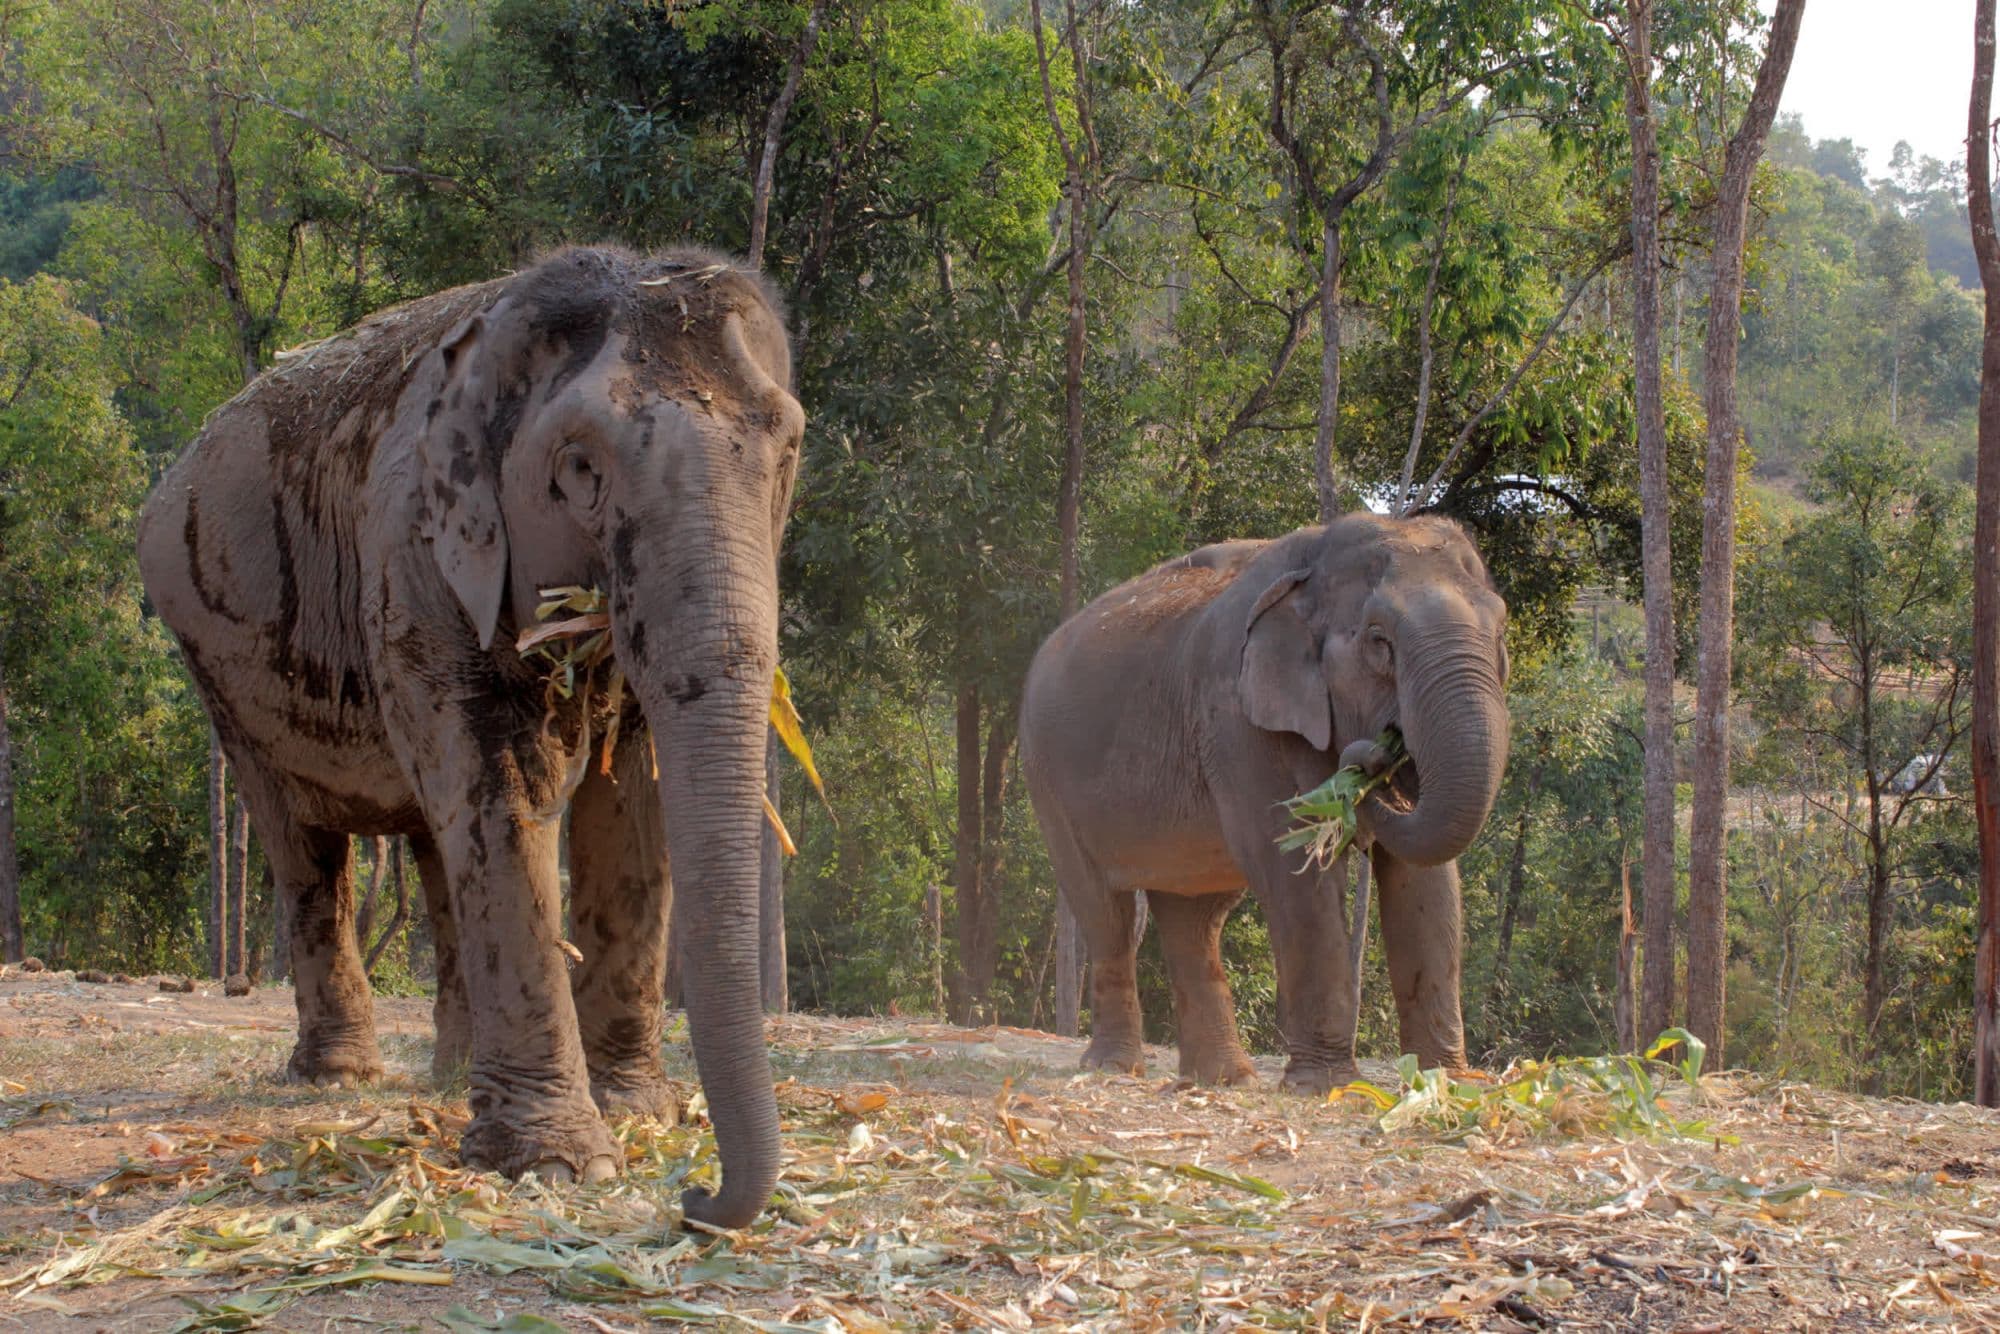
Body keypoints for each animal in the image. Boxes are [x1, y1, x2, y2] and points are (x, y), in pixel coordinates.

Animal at [137, 245, 803, 1229]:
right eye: (578, 466)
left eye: (786, 449)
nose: (697, 1195)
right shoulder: (413, 556)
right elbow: (501, 785)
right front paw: (561, 1165)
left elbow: (631, 802)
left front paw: (635, 1112)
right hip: (212, 655)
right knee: (302, 841)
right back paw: (338, 1080)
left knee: (429, 844)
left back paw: (449, 1077)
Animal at [1019, 513, 1508, 1094]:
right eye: (1378, 640)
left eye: (1501, 633)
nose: (1373, 758)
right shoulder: (1237, 718)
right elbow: (1297, 873)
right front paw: (1328, 1089)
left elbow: (1426, 883)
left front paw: (1450, 1084)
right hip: (1049, 781)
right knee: (1105, 910)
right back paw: (1115, 1069)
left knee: (1193, 916)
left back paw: (1221, 1080)